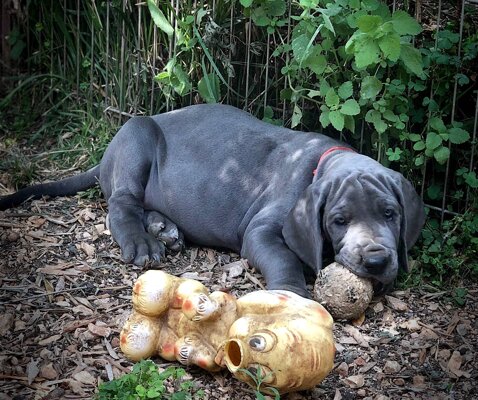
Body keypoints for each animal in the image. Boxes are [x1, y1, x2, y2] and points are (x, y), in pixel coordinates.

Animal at [0, 104, 425, 298]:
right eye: (339, 220)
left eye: (390, 214)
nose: (376, 261)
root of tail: (104, 157)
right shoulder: (261, 230)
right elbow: (284, 257)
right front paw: (291, 293)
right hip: (137, 136)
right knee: (120, 205)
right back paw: (143, 242)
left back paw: (164, 228)